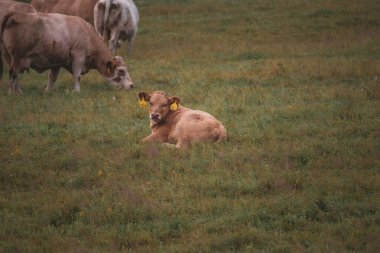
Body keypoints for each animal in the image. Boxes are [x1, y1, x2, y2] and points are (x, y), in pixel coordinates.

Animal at [1, 12, 134, 94]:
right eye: (121, 71)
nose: (132, 85)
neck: (87, 34)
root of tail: (14, 15)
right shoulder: (78, 55)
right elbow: (77, 75)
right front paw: (77, 90)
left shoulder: (56, 62)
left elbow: (52, 78)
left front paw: (47, 91)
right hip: (17, 58)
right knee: (13, 74)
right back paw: (13, 94)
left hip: (11, 58)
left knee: (15, 76)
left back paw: (19, 92)